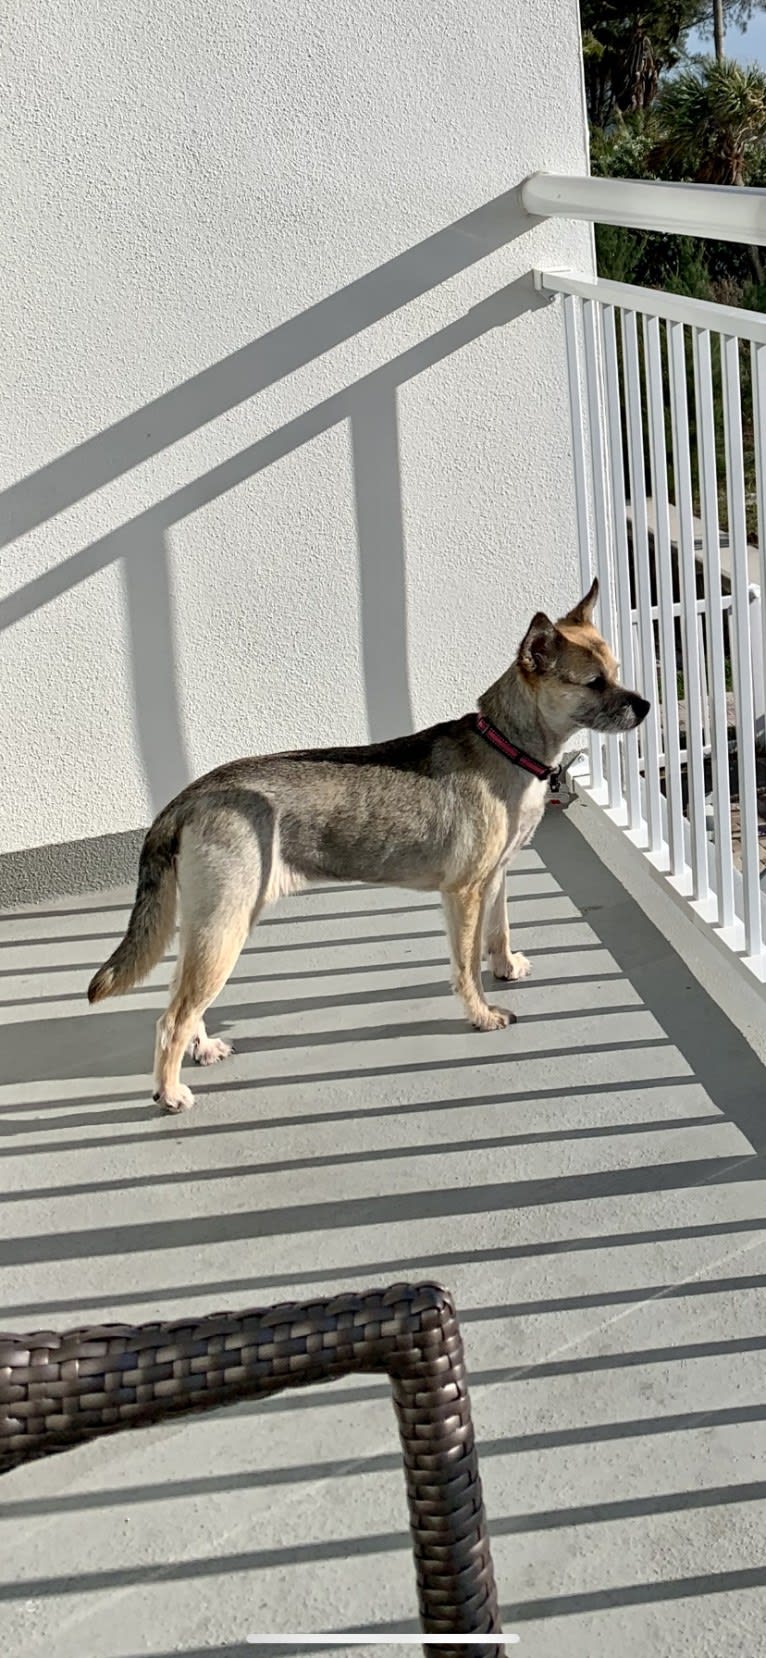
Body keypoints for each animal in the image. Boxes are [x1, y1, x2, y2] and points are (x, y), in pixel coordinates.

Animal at [91, 583, 653, 1114]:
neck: (505, 744)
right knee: (172, 1018)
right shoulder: (464, 893)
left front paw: (507, 966)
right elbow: (467, 966)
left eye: (616, 671)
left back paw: (202, 1049)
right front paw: (482, 1014)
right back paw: (169, 1092)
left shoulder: (495, 878)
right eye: (593, 682)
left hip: (209, 927)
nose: (646, 706)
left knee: (182, 1002)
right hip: (224, 928)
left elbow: (499, 933)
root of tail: (187, 798)